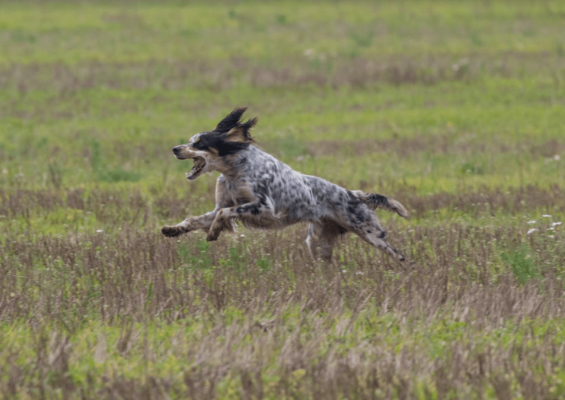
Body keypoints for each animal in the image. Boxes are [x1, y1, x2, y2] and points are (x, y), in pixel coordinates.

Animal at [161, 107, 408, 263]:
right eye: (190, 141)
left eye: (199, 143)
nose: (174, 148)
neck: (235, 171)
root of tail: (354, 194)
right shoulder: (221, 204)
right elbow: (195, 219)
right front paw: (172, 230)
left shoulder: (263, 207)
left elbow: (224, 214)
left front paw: (213, 233)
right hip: (317, 240)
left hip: (370, 233)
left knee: (400, 255)